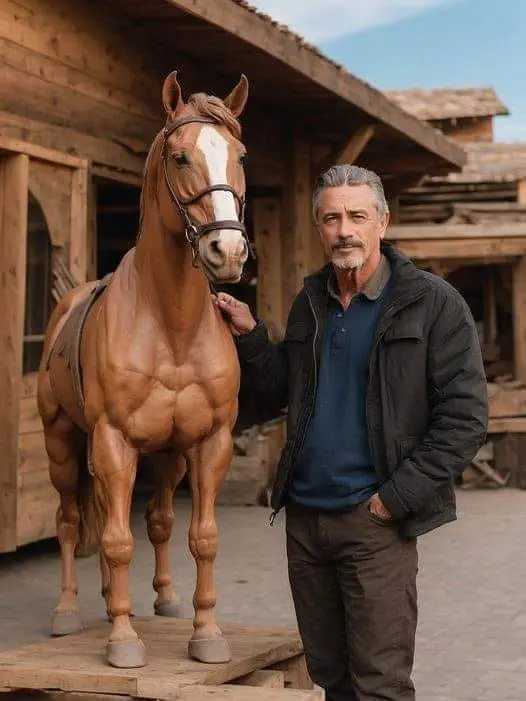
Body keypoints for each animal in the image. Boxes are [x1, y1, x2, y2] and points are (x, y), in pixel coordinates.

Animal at [37, 70, 250, 669]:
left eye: (240, 155)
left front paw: (207, 633)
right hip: (63, 445)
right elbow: (114, 541)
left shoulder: (208, 441)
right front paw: (123, 640)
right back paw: (67, 612)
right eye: (180, 157)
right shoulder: (113, 441)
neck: (170, 323)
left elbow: (200, 536)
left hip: (166, 457)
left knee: (156, 522)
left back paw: (162, 599)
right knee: (70, 522)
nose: (228, 250)